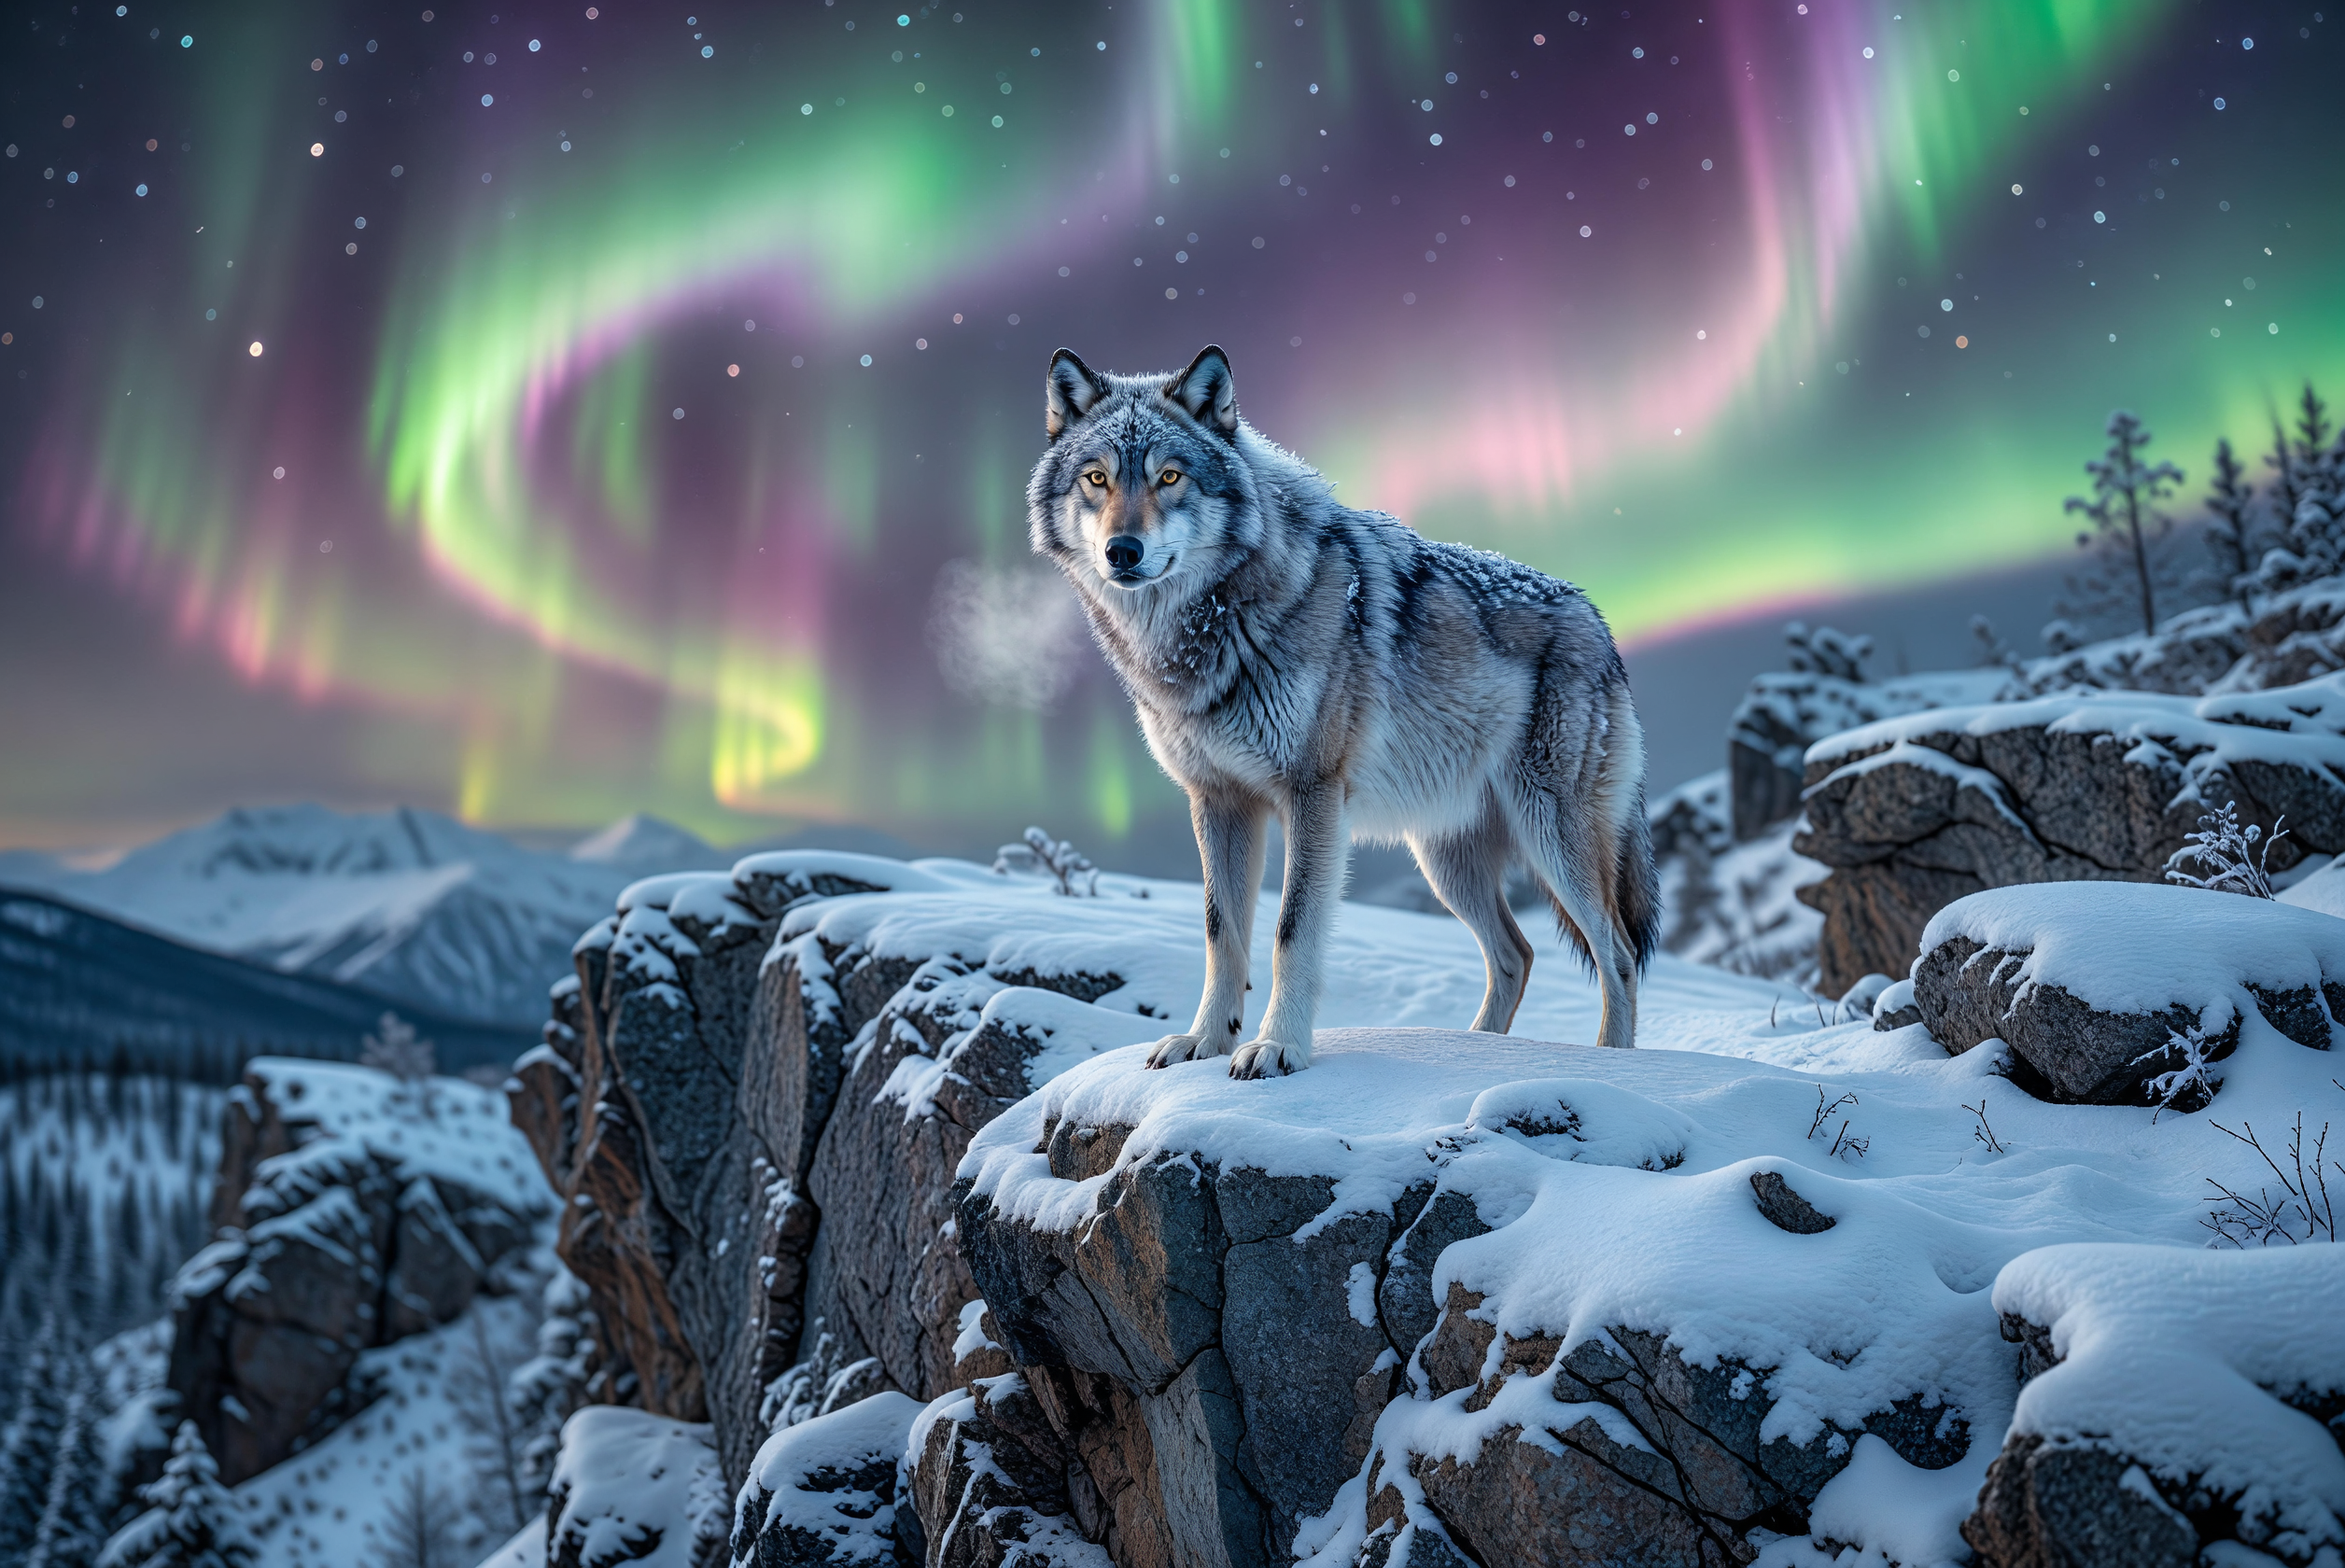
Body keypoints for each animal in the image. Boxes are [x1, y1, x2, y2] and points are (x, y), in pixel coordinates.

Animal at [1028, 344, 1659, 1077]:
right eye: (1097, 479)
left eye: (1170, 477)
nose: (1121, 552)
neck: (1209, 632)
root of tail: (1600, 621)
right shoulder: (1217, 801)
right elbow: (1221, 933)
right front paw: (1205, 1043)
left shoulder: (1313, 795)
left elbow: (1290, 930)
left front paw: (1277, 1049)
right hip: (1445, 861)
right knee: (1517, 954)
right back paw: (1475, 1050)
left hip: (1552, 838)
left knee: (1617, 954)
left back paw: (1614, 1067)